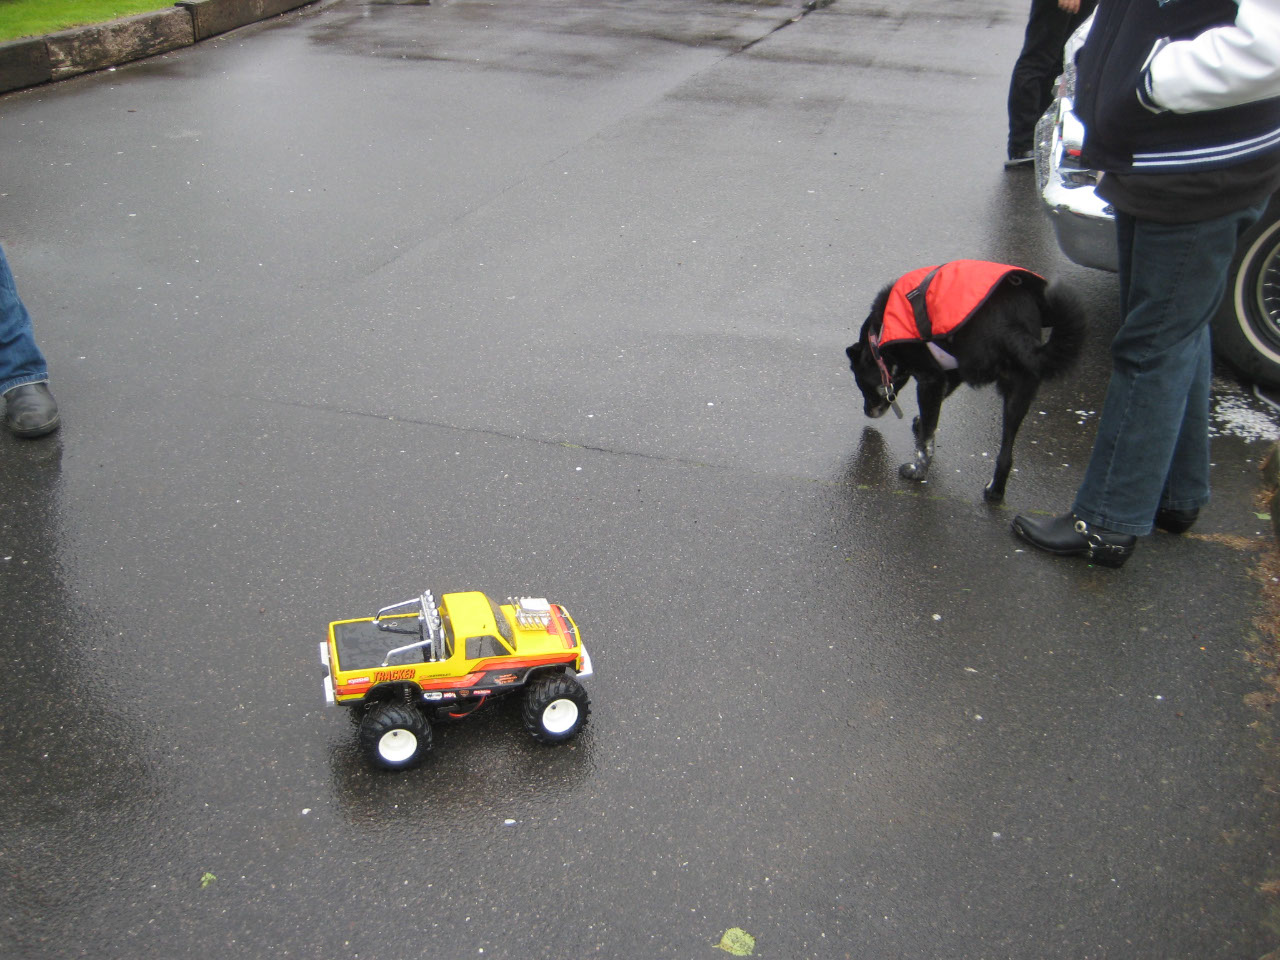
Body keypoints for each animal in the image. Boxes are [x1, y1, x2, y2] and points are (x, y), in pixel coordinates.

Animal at [844, 263, 1085, 504]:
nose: (867, 412)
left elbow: (927, 440)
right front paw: (921, 421)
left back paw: (918, 472)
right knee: (1006, 455)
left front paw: (918, 466)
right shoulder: (951, 374)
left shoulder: (931, 378)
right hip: (1019, 393)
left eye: (861, 385)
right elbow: (935, 411)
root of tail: (1012, 325)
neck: (878, 335)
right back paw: (994, 491)